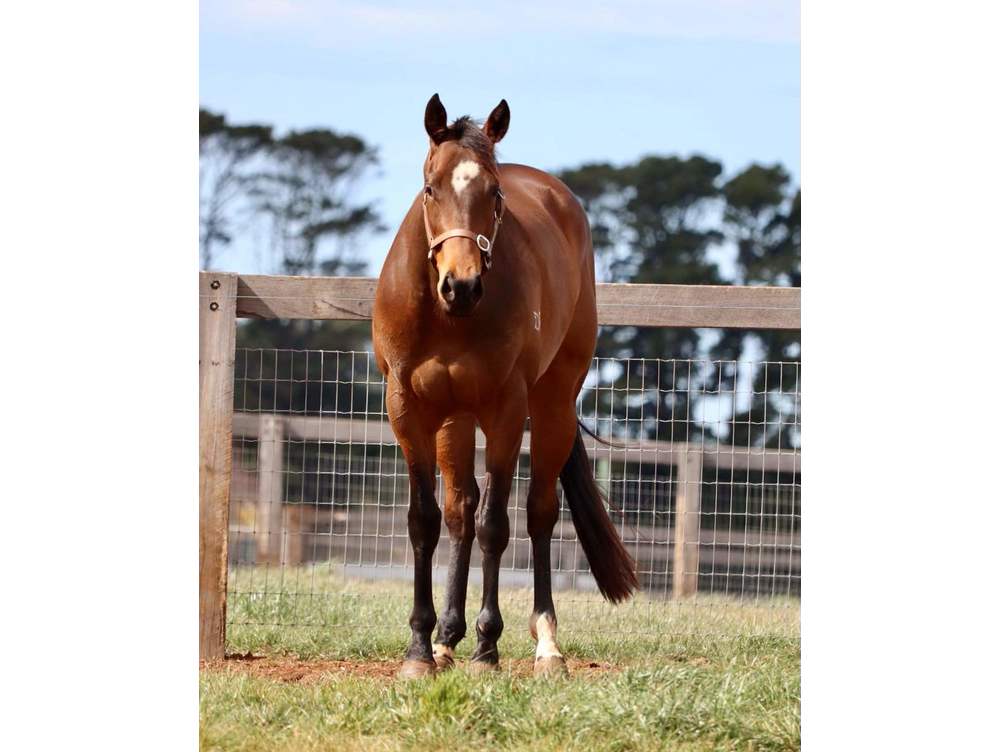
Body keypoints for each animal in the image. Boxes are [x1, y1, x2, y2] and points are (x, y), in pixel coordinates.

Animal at [372, 95, 636, 680]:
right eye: (430, 188)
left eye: (494, 194)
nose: (462, 284)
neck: (447, 317)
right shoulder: (409, 409)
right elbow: (426, 521)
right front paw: (420, 649)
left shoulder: (507, 410)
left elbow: (497, 524)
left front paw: (487, 649)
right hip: (455, 417)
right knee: (459, 512)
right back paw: (447, 639)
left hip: (552, 403)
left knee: (538, 512)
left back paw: (546, 646)